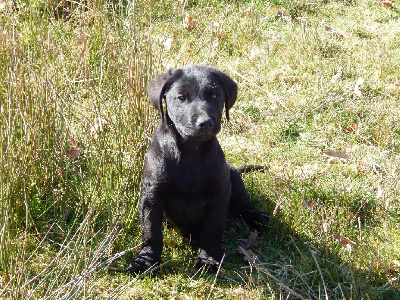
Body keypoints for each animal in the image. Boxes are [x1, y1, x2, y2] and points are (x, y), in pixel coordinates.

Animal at [128, 65, 268, 274]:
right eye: (181, 97)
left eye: (214, 95)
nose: (205, 123)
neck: (191, 152)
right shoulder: (151, 195)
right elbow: (151, 232)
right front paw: (145, 261)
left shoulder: (220, 192)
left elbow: (212, 229)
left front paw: (208, 259)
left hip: (233, 179)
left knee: (244, 205)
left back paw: (258, 218)